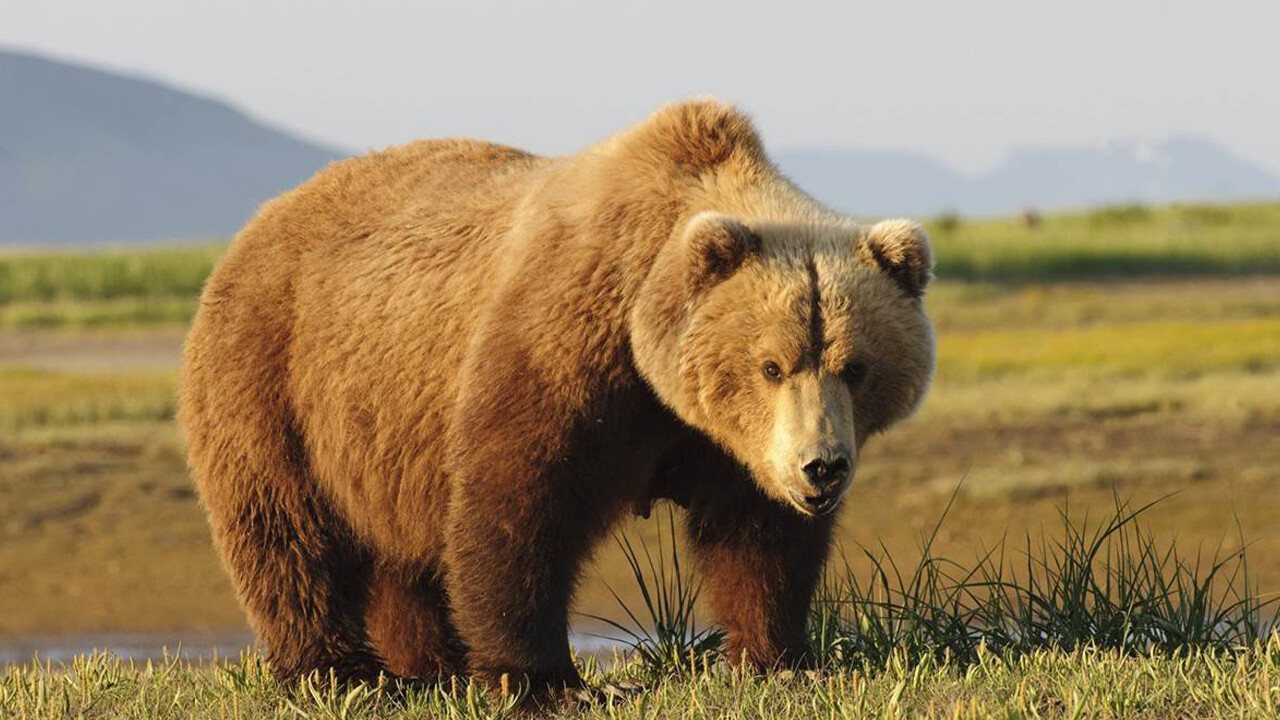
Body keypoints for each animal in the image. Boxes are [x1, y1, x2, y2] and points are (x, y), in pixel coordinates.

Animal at [177, 99, 931, 696]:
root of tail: (258, 221)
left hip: (386, 434)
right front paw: (544, 681)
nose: (822, 467)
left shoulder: (729, 442)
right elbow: (519, 503)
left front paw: (780, 658)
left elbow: (757, 535)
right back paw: (336, 671)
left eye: (856, 366)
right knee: (286, 531)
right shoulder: (569, 347)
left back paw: (430, 664)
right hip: (274, 376)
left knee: (401, 551)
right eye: (771, 365)